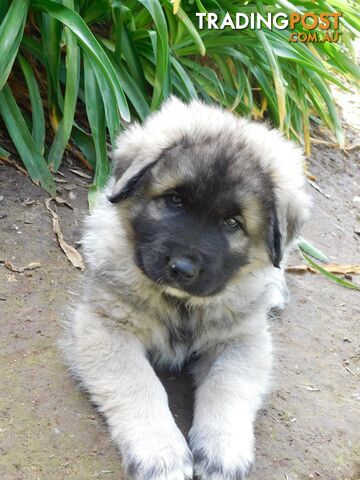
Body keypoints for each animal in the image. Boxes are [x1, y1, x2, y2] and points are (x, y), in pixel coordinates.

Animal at [63, 95, 310, 478]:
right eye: (174, 200)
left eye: (232, 223)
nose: (182, 269)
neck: (181, 304)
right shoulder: (105, 326)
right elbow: (140, 383)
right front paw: (161, 453)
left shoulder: (243, 339)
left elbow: (227, 384)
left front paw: (221, 450)